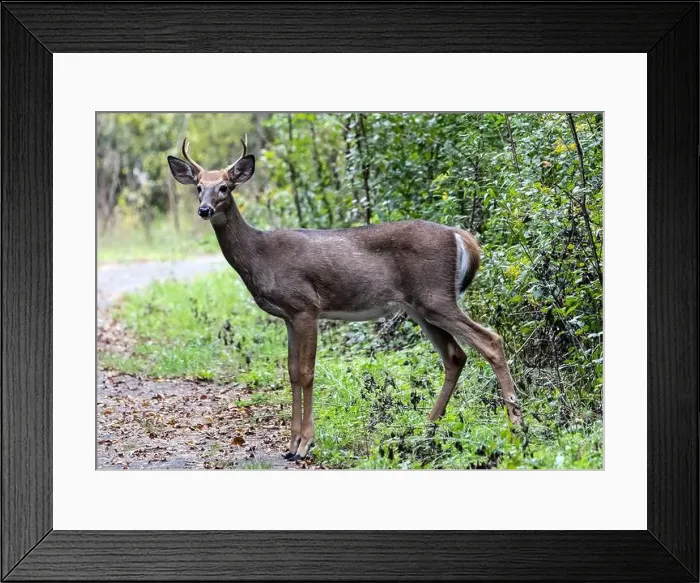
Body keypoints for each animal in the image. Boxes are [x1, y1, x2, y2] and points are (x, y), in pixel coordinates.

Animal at [167, 137, 521, 460]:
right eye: (198, 187)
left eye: (225, 187)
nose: (204, 209)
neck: (261, 255)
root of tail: (460, 236)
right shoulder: (288, 316)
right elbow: (292, 372)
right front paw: (290, 446)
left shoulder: (307, 307)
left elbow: (307, 373)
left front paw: (305, 445)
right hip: (420, 307)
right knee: (455, 356)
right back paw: (427, 429)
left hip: (435, 297)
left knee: (490, 340)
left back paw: (516, 427)